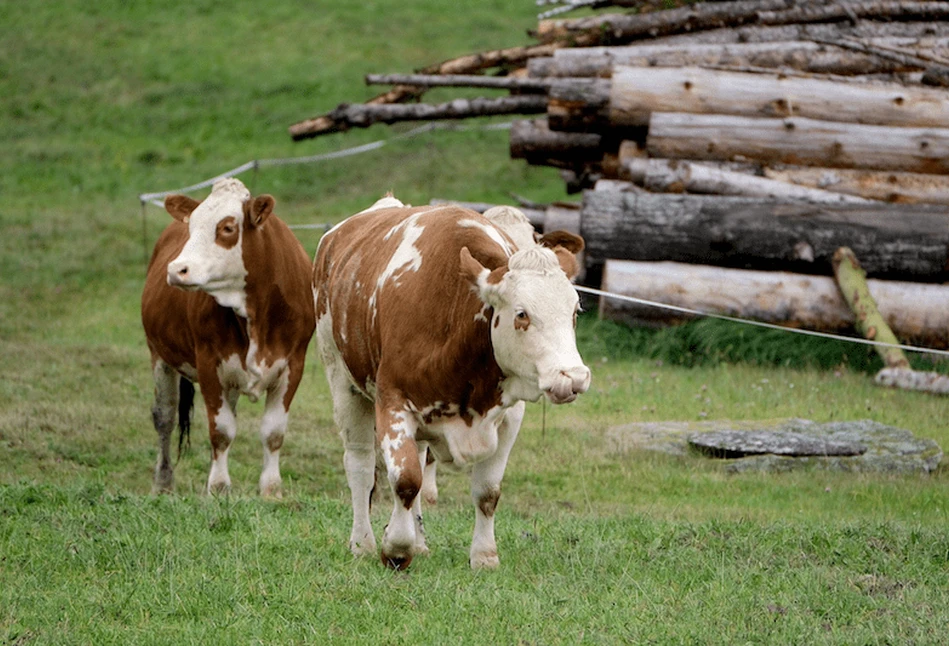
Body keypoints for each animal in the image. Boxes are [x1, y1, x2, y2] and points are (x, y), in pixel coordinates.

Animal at [142, 177, 314, 496]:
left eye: (227, 228)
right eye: (192, 225)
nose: (177, 269)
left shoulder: (293, 364)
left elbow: (273, 431)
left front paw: (271, 490)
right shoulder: (209, 364)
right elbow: (221, 431)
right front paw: (218, 488)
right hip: (159, 354)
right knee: (165, 417)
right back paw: (162, 482)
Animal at [314, 199, 588, 572]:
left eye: (575, 311)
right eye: (522, 314)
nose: (573, 377)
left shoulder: (509, 416)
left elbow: (487, 491)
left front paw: (484, 555)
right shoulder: (393, 401)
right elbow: (405, 481)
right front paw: (396, 547)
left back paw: (420, 541)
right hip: (343, 383)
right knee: (360, 465)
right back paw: (362, 543)